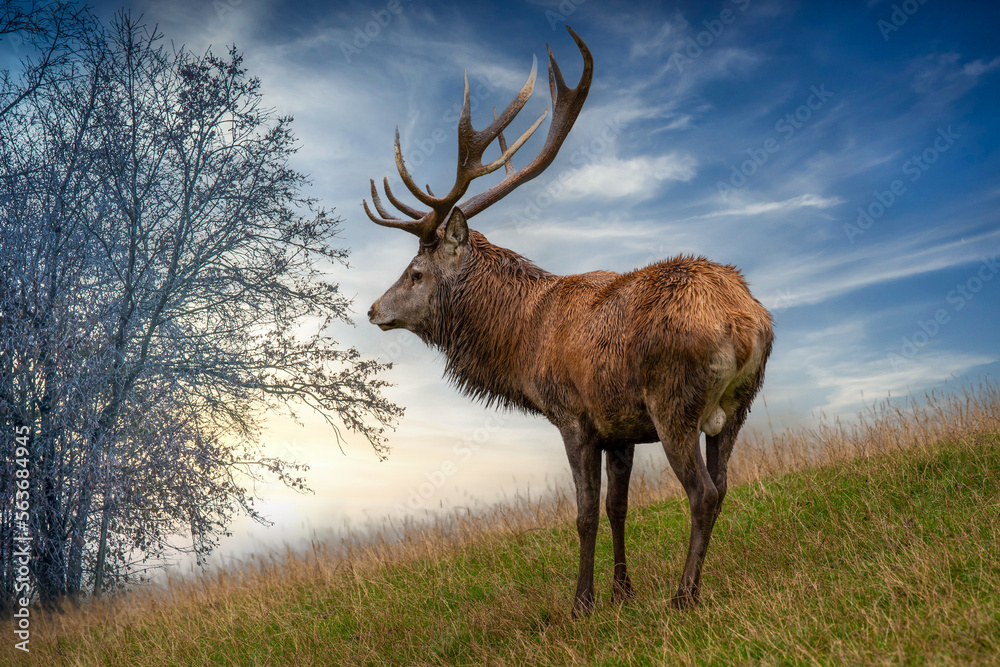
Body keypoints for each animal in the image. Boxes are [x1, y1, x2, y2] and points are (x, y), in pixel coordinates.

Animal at [363, 27, 774, 617]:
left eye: (415, 272)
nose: (374, 309)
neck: (522, 341)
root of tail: (747, 323)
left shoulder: (573, 415)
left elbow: (583, 515)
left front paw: (582, 603)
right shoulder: (619, 426)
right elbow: (618, 508)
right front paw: (623, 591)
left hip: (675, 401)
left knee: (702, 492)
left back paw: (683, 596)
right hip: (737, 407)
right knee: (722, 488)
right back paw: (690, 586)